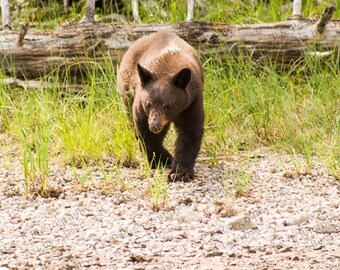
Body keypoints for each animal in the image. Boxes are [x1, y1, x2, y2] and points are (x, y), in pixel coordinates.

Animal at [117, 32, 205, 181]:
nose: (154, 125)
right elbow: (145, 132)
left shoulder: (192, 101)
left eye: (168, 106)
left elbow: (190, 131)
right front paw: (161, 159)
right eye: (148, 104)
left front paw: (180, 173)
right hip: (126, 89)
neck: (169, 68)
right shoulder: (140, 103)